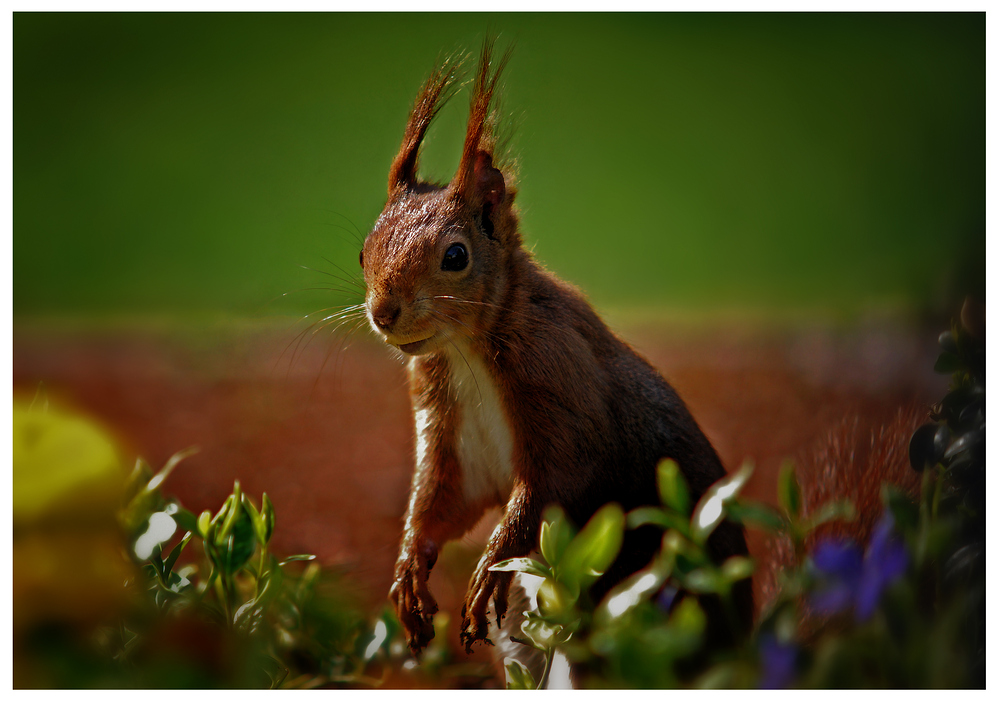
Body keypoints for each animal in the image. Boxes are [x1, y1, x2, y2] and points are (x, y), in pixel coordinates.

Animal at [360, 42, 752, 656]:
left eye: (455, 256)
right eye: (363, 251)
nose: (383, 312)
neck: (468, 353)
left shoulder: (559, 382)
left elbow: (553, 483)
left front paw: (489, 566)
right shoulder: (451, 429)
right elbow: (443, 500)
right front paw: (410, 570)